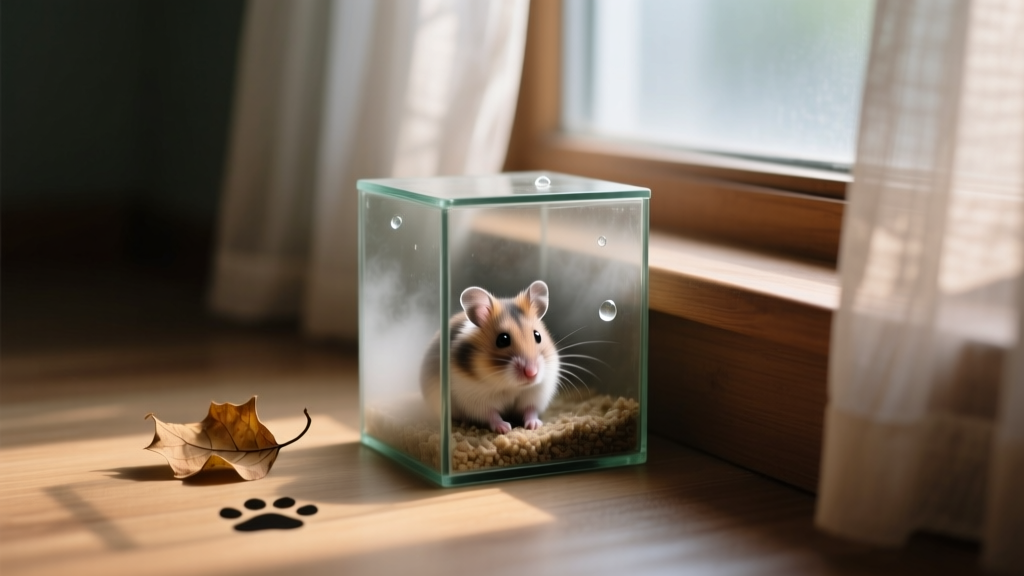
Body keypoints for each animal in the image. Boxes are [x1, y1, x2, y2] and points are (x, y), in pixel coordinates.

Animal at [420, 280, 560, 434]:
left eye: (538, 336)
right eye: (503, 340)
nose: (531, 373)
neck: (510, 386)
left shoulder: (535, 393)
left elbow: (530, 410)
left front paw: (534, 425)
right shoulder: (475, 400)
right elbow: (491, 415)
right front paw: (505, 428)